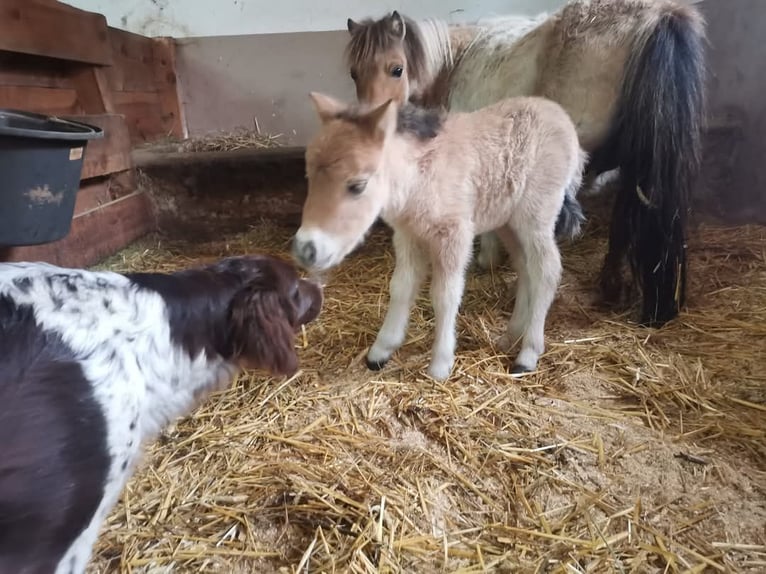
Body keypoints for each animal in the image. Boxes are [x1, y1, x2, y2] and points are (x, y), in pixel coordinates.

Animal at [294, 93, 588, 382]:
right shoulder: (408, 236)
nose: (305, 249)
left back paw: (527, 354)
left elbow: (445, 295)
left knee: (546, 270)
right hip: (509, 222)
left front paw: (440, 365)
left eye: (357, 185)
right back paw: (510, 337)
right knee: (525, 269)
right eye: (308, 176)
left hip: (537, 215)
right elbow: (401, 286)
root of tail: (563, 120)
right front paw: (380, 351)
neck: (419, 176)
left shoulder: (454, 236)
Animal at [344, 0, 704, 328]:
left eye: (397, 69)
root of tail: (659, 15)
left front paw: (487, 257)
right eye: (354, 73)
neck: (455, 63)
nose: (368, 129)